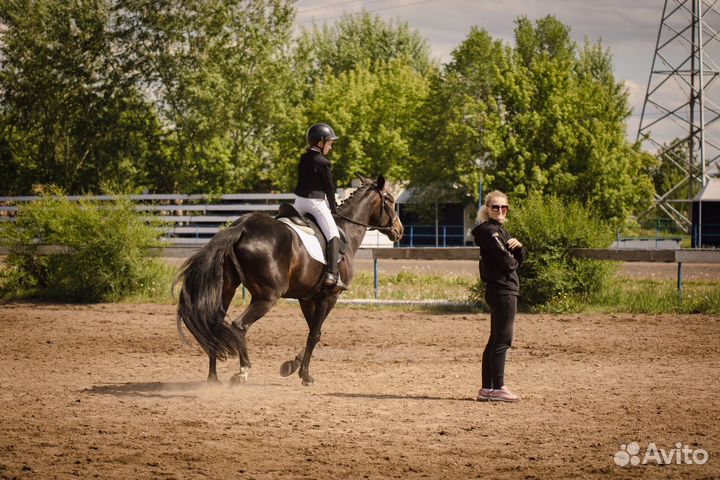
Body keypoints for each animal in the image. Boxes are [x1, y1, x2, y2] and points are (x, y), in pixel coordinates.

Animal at [172, 174, 402, 384]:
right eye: (390, 200)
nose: (399, 231)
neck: (346, 230)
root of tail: (243, 227)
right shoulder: (329, 296)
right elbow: (315, 333)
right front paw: (305, 375)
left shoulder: (307, 298)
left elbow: (313, 330)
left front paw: (292, 365)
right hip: (267, 297)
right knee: (239, 325)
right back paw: (243, 371)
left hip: (227, 289)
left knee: (214, 325)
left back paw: (213, 377)